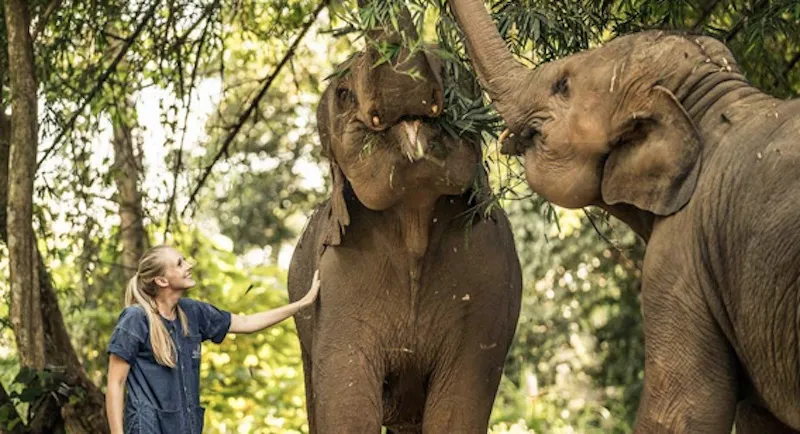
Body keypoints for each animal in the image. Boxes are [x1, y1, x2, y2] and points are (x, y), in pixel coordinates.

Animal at [286, 8, 522, 433]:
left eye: (452, 72)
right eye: (343, 94)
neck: (414, 217)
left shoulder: (490, 289)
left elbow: (457, 411)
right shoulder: (336, 288)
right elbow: (348, 411)